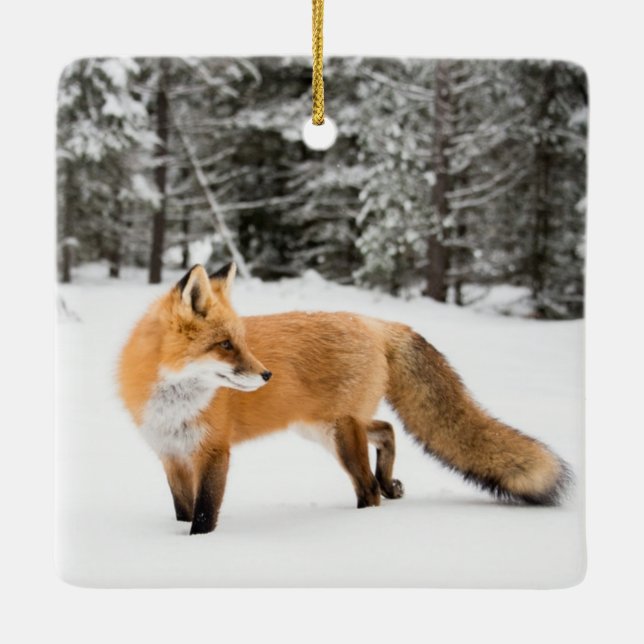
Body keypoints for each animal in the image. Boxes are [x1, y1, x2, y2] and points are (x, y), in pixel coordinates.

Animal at [118, 262, 571, 535]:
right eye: (226, 345)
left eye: (241, 342)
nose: (266, 374)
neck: (174, 403)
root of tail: (375, 322)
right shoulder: (171, 455)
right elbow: (183, 509)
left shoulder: (214, 452)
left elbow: (204, 514)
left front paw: (198, 546)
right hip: (323, 427)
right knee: (387, 430)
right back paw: (390, 483)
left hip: (339, 433)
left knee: (368, 488)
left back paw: (362, 518)